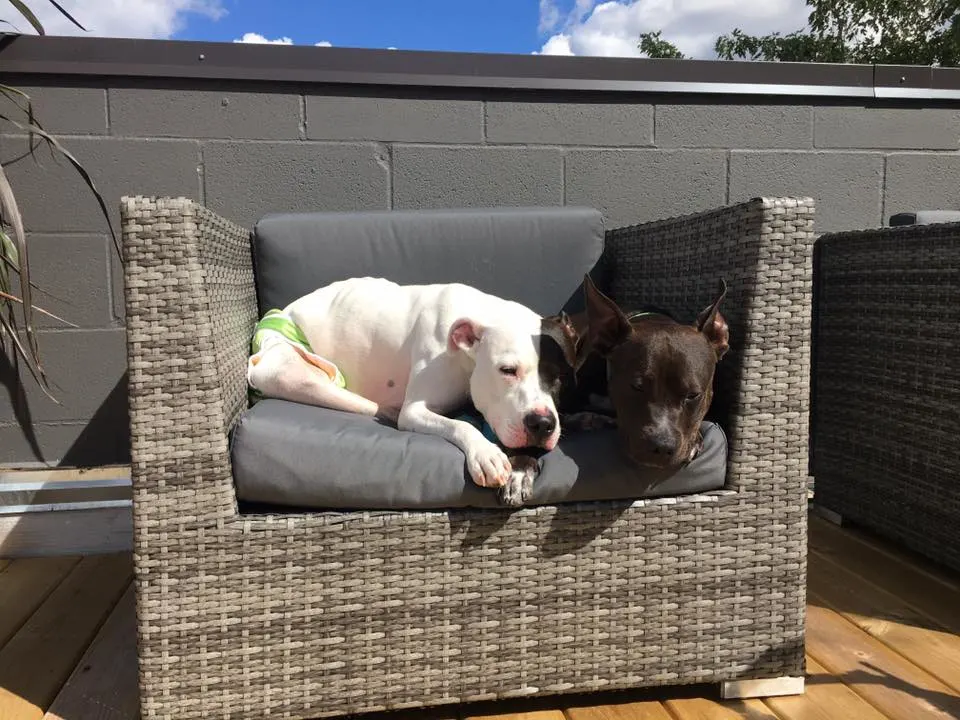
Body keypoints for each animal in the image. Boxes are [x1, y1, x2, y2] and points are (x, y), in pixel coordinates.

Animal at [246, 278, 564, 486]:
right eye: (507, 370)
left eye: (560, 379)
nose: (542, 424)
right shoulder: (416, 410)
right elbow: (460, 425)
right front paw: (486, 453)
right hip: (285, 371)